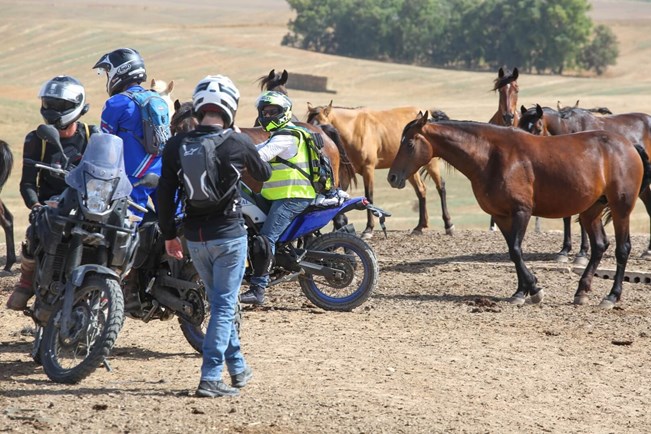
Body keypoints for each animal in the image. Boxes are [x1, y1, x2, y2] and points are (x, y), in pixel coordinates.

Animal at [306, 101, 454, 237]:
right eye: (309, 122)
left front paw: (368, 229)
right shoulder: (345, 173)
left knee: (440, 186)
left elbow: (369, 196)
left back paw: (448, 225)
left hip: (430, 164)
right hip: (411, 170)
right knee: (421, 190)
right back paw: (420, 227)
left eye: (319, 123)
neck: (355, 129)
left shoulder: (368, 169)